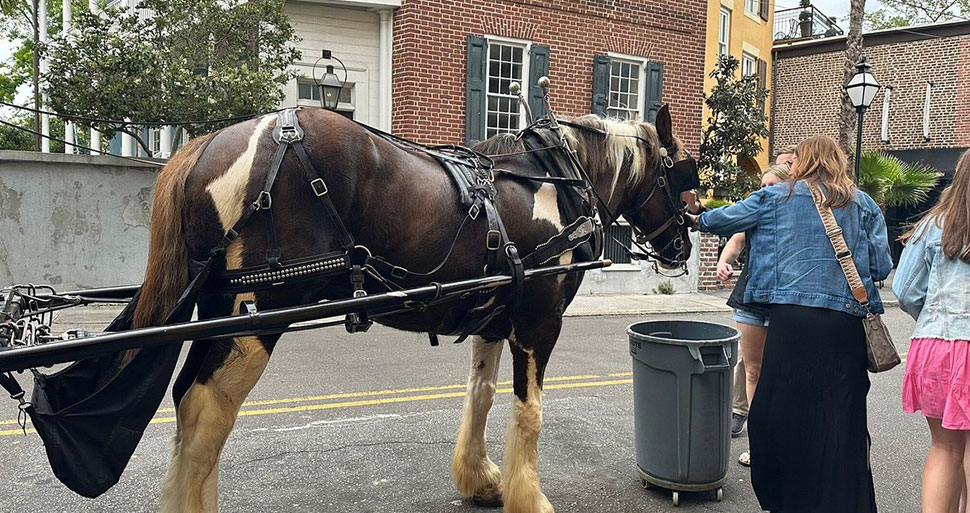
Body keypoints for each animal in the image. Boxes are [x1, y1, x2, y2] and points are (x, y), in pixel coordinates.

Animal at [130, 97, 696, 512]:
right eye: (681, 176)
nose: (684, 248)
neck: (559, 180)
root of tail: (207, 145)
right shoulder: (539, 322)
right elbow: (530, 412)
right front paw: (530, 498)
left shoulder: (493, 318)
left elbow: (480, 396)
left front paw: (480, 479)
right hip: (255, 316)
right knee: (205, 413)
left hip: (219, 312)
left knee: (186, 403)